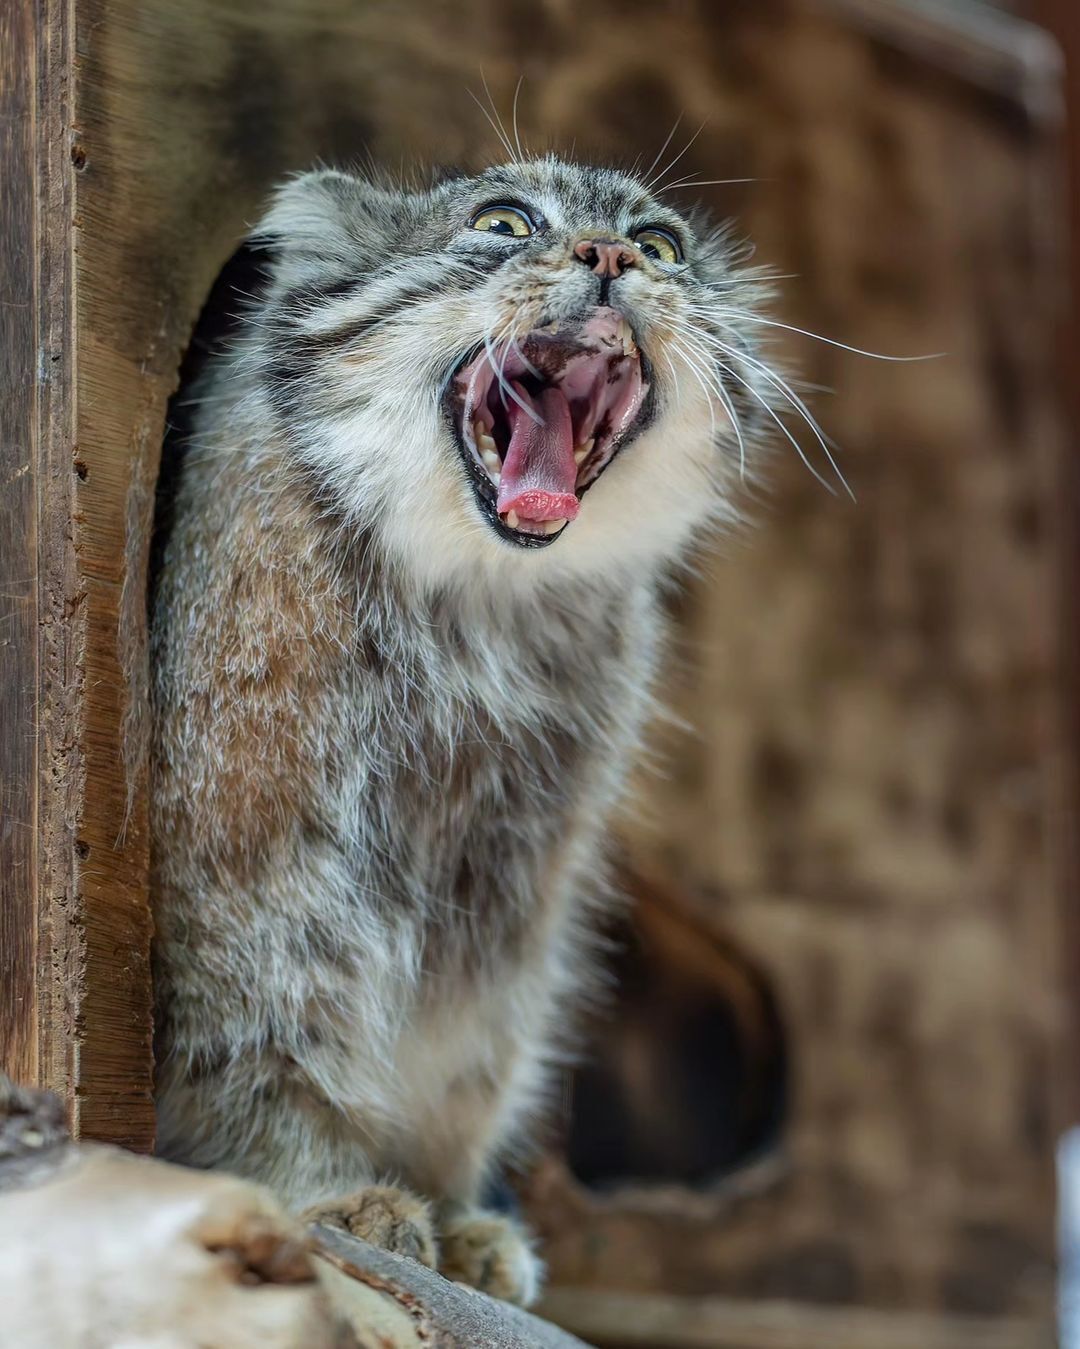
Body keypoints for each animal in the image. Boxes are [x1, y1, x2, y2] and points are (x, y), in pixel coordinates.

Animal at [151, 153, 776, 1300]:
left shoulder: (510, 886)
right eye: (502, 223)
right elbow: (269, 1026)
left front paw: (451, 1211)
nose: (609, 255)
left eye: (660, 244)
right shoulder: (248, 846)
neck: (476, 607)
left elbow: (467, 1053)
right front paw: (313, 1194)